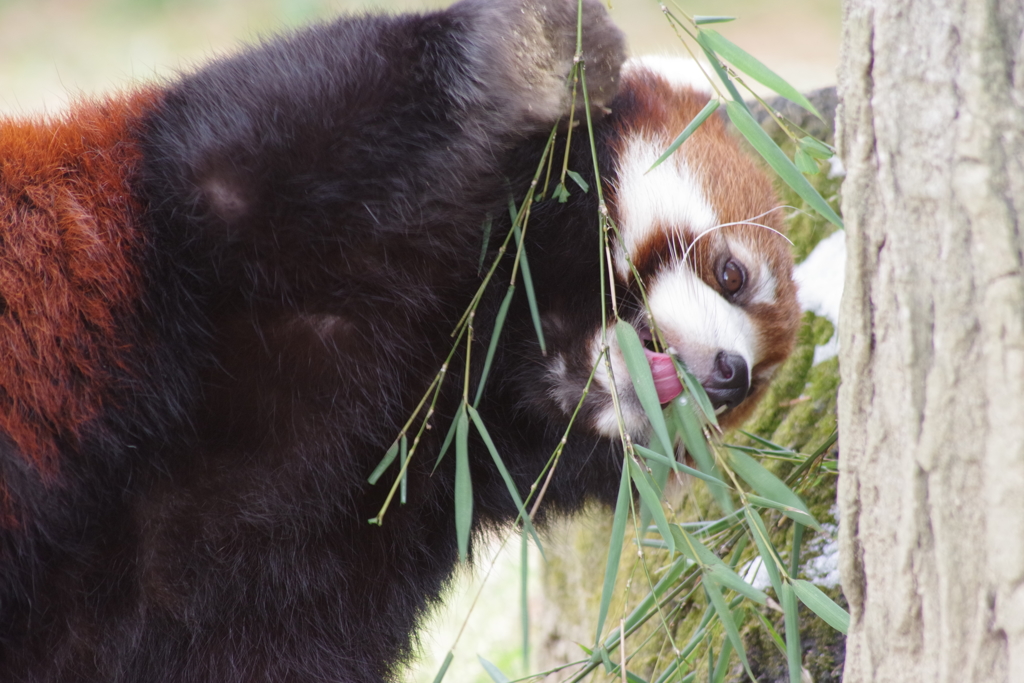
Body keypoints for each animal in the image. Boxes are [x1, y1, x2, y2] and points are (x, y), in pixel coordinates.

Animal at [0, 2, 798, 679]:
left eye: (752, 387)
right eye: (731, 273)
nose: (729, 374)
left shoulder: (354, 529)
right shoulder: (209, 202)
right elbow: (301, 123)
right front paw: (520, 65)